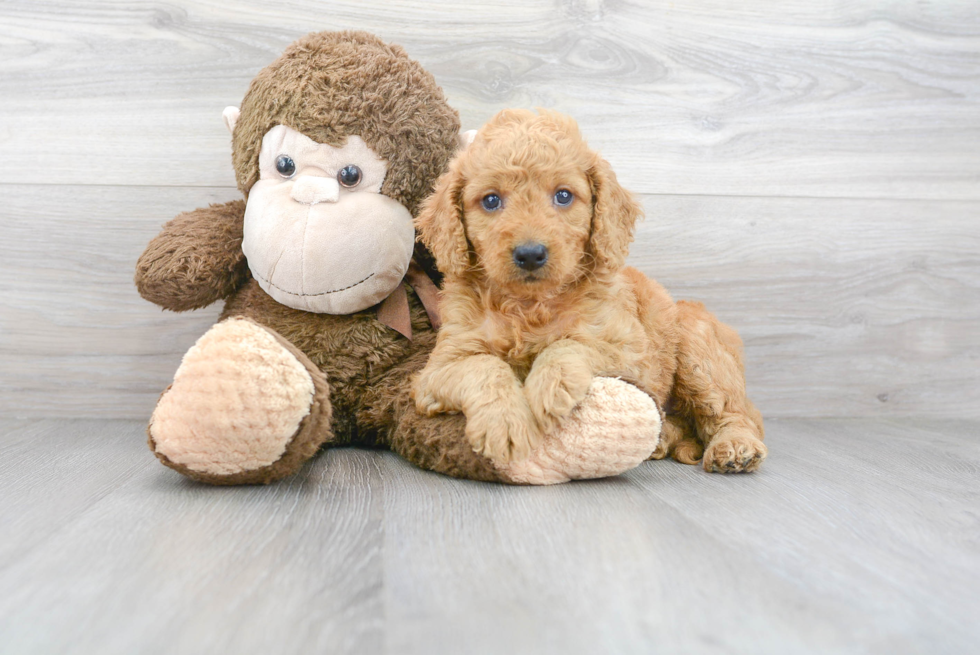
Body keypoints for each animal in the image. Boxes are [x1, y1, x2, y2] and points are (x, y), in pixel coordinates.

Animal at [414, 110, 764, 474]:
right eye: (491, 200)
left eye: (564, 196)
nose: (530, 254)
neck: (529, 306)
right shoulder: (437, 369)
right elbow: (483, 366)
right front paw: (506, 425)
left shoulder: (631, 351)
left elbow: (570, 343)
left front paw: (548, 389)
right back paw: (662, 438)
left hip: (698, 349)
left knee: (737, 413)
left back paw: (734, 447)